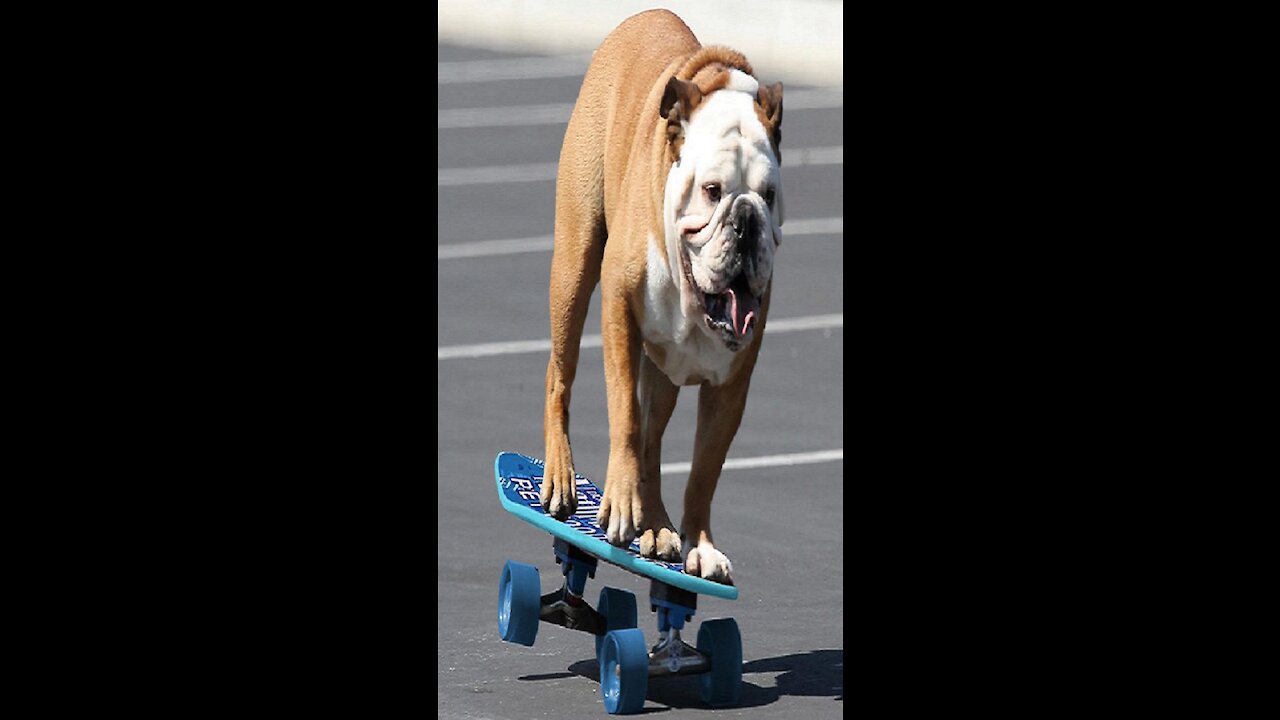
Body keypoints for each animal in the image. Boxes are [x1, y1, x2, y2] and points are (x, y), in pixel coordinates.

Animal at [540, 9, 778, 584]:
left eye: (770, 195)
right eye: (713, 191)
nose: (746, 217)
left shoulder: (731, 388)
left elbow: (704, 469)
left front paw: (699, 544)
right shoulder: (619, 314)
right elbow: (624, 417)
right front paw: (622, 504)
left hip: (665, 371)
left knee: (653, 441)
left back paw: (660, 528)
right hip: (575, 266)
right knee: (561, 374)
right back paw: (562, 478)